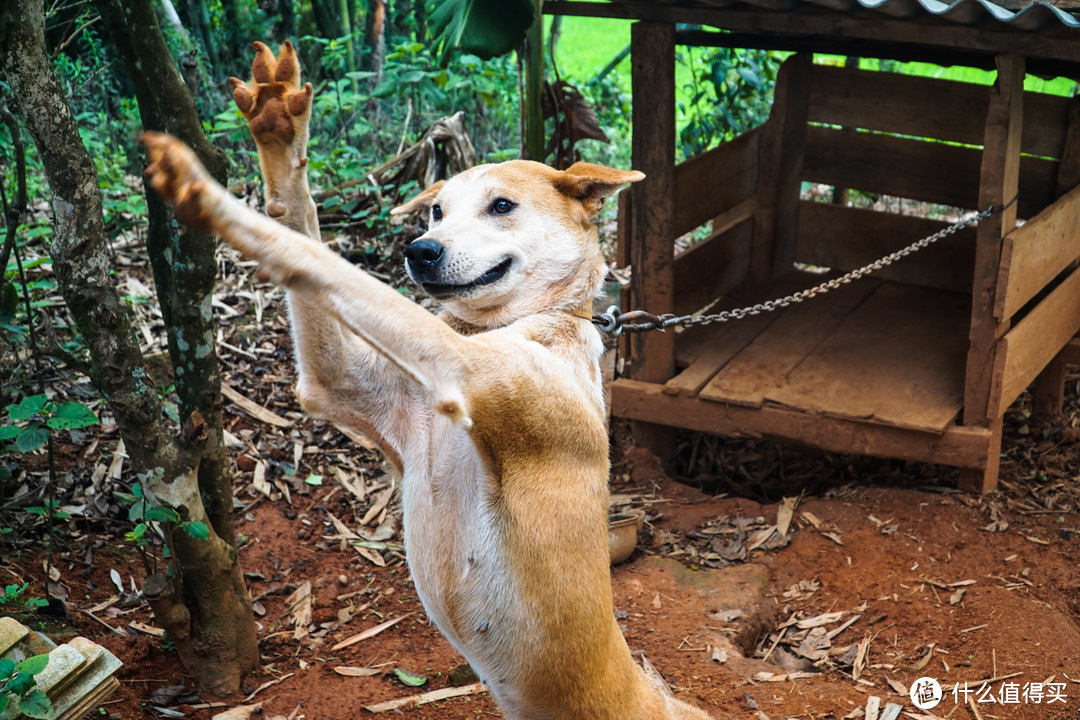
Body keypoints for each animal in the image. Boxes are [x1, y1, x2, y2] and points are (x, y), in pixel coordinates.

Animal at [145, 42, 717, 720]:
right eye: (437, 210)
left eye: (502, 207)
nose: (420, 250)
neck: (500, 325)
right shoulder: (339, 384)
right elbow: (302, 232)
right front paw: (279, 131)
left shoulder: (459, 367)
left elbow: (315, 260)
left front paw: (208, 196)